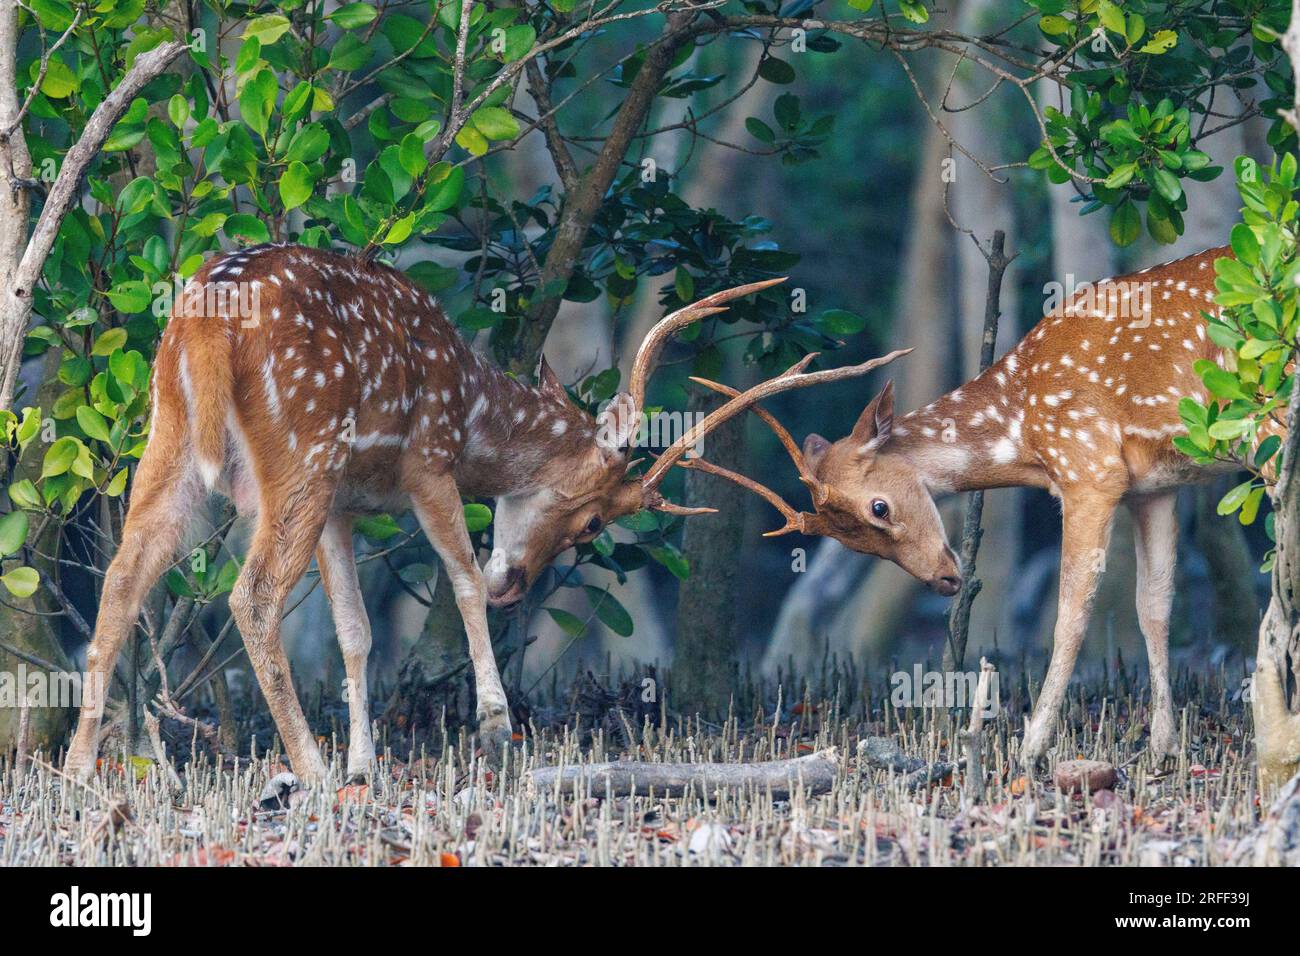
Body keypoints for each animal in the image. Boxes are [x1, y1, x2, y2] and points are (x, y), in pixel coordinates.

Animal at [62, 242, 908, 785]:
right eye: (593, 523)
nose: (516, 585)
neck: (472, 413)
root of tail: (202, 322)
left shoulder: (344, 502)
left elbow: (355, 632)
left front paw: (367, 764)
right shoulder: (427, 461)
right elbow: (459, 577)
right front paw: (496, 726)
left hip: (173, 438)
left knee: (123, 576)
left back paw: (78, 771)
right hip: (302, 444)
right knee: (252, 595)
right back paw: (306, 767)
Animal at [688, 245, 1246, 771]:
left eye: (879, 508)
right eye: (848, 539)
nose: (944, 580)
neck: (1025, 432)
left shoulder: (1089, 465)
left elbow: (1071, 611)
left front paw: (1032, 749)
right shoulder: (1154, 487)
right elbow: (1154, 605)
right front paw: (1164, 748)